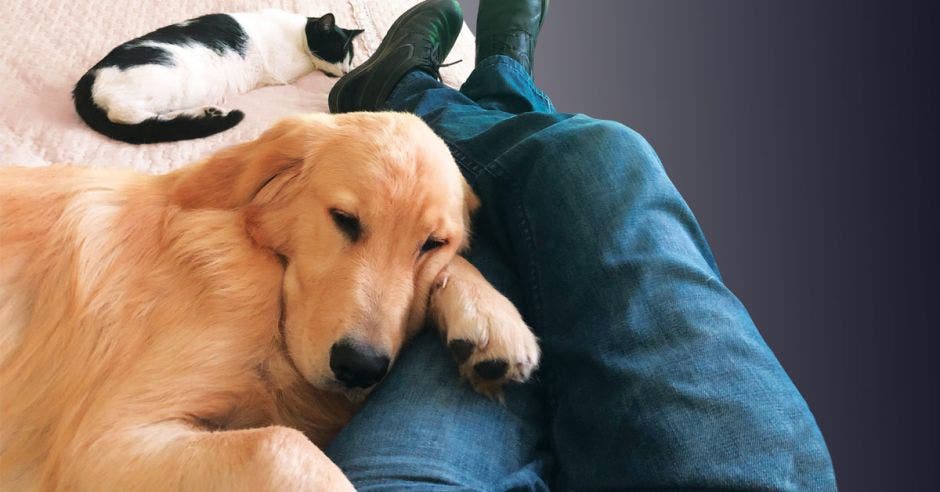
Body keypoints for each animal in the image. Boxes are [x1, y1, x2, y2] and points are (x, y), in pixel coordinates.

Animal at [0, 112, 540, 488]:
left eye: (433, 243)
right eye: (344, 219)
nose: (360, 368)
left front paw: (493, 318)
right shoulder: (103, 442)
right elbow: (280, 445)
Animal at [73, 10, 364, 143]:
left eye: (350, 59)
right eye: (339, 53)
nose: (346, 71)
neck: (298, 33)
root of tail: (85, 81)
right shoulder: (286, 68)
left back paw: (206, 112)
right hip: (157, 84)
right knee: (125, 115)